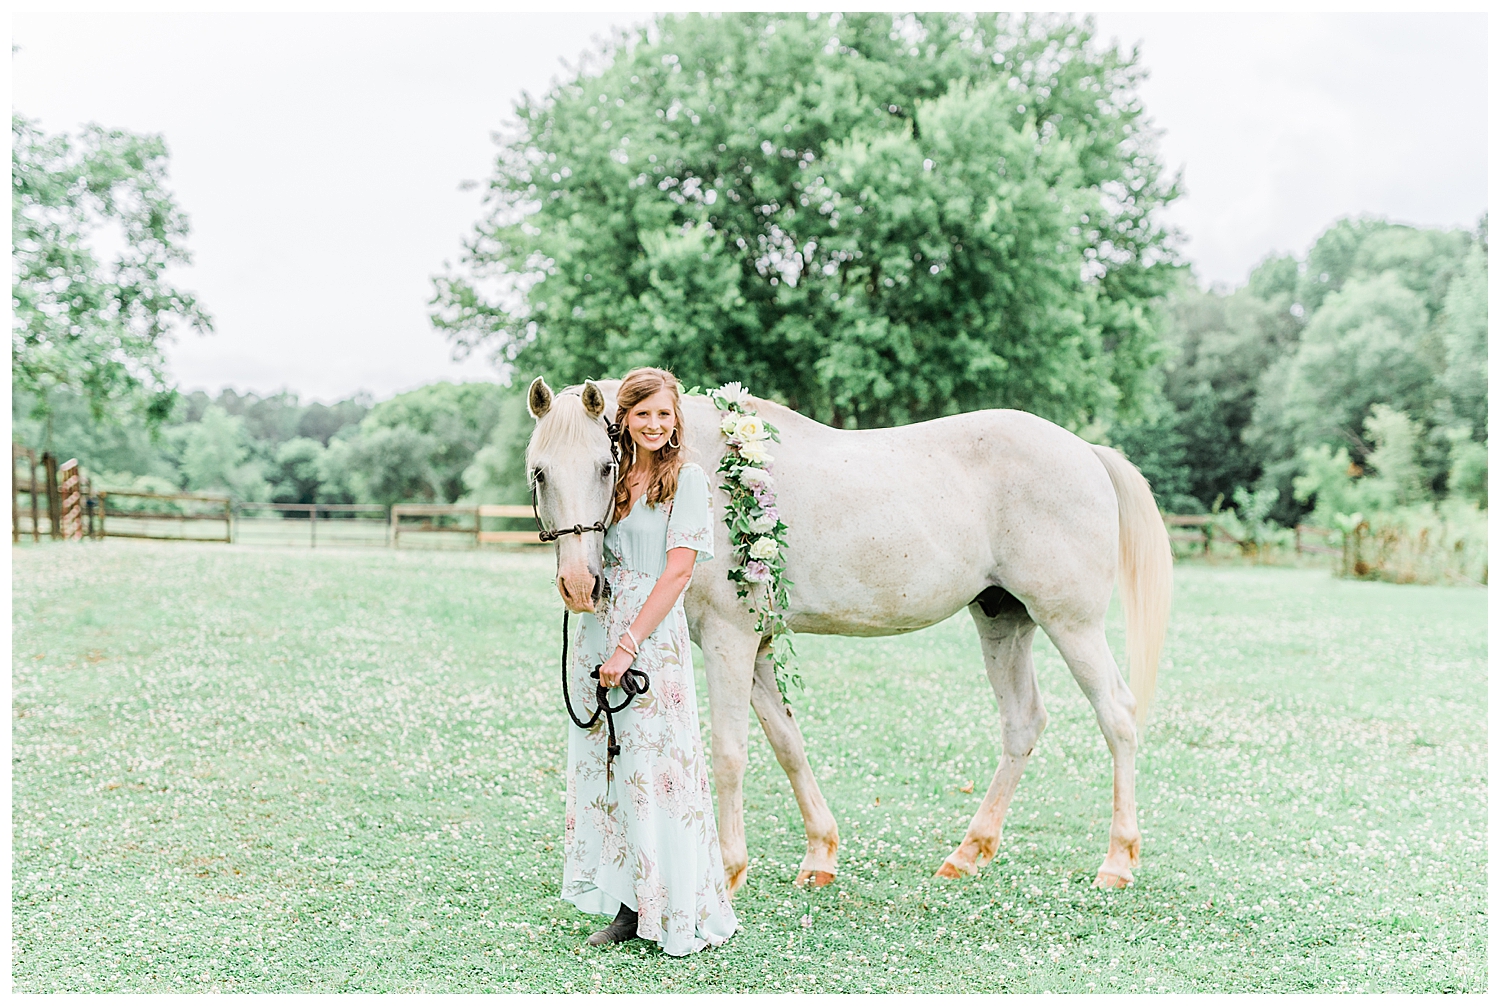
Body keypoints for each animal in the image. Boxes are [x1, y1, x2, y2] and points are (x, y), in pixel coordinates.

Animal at [525, 376, 1172, 892]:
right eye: (539, 472)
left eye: (605, 466)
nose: (580, 585)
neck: (702, 465)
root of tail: (1085, 451)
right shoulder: (757, 646)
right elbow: (787, 742)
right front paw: (820, 854)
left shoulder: (732, 641)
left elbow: (731, 754)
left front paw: (728, 873)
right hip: (1003, 621)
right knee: (1023, 723)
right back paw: (968, 854)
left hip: (1072, 625)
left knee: (1117, 717)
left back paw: (1117, 862)